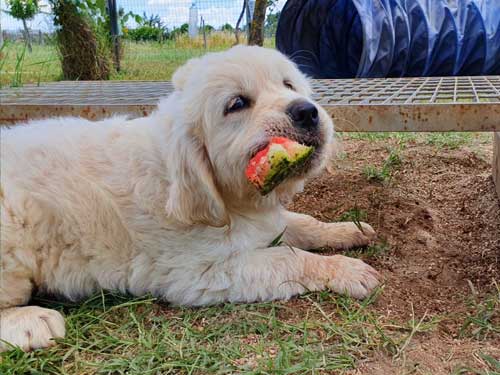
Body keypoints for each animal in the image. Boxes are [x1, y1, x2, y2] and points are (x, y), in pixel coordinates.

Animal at [0, 44, 378, 352]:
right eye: (237, 104)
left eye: (288, 85)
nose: (307, 111)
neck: (231, 198)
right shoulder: (201, 273)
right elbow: (290, 258)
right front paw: (347, 270)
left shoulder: (267, 220)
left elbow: (304, 225)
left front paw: (350, 229)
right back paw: (30, 322)